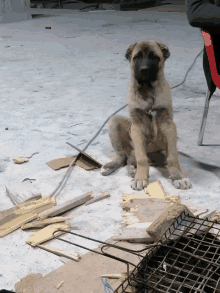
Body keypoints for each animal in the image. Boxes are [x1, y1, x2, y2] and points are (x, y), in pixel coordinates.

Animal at [101, 41, 191, 190]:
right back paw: (116, 167)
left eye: (154, 57)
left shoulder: (169, 126)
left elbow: (173, 157)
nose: (144, 70)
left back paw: (133, 169)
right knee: (123, 156)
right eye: (137, 57)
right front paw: (140, 178)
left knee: (131, 159)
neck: (147, 90)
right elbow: (141, 158)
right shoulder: (137, 128)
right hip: (114, 121)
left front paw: (178, 176)